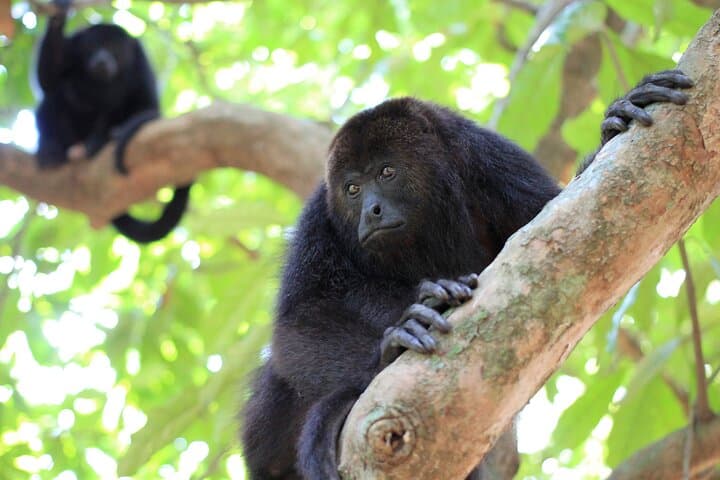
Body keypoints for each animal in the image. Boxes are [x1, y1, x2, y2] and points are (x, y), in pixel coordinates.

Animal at [34, 1, 191, 244]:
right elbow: (48, 80)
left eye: (114, 48)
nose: (102, 58)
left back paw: (100, 141)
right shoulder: (73, 46)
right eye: (94, 46)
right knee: (57, 97)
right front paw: (59, 12)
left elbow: (148, 106)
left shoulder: (140, 61)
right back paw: (50, 148)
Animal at [241, 70, 693, 480]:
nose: (371, 210)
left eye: (386, 172)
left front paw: (615, 122)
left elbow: (568, 232)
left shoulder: (487, 158)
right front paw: (392, 343)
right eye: (352, 189)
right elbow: (296, 329)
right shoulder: (319, 215)